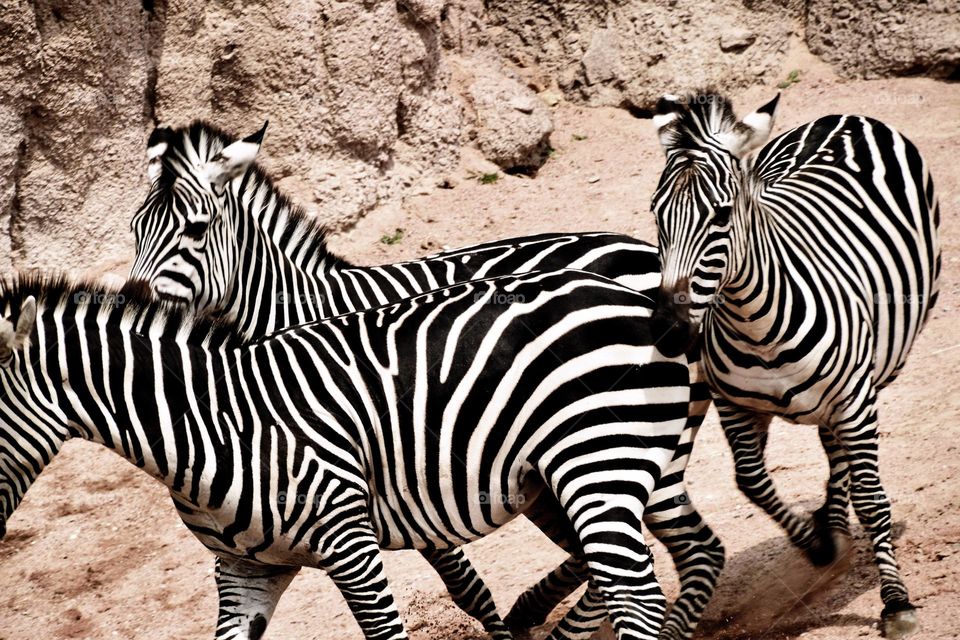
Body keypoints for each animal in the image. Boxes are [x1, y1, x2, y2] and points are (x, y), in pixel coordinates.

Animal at [0, 274, 692, 640]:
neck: (209, 425)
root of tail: (631, 295)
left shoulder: (350, 543)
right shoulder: (244, 570)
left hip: (596, 468)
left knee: (638, 596)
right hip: (549, 481)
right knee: (607, 573)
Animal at [129, 120, 720, 640]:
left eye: (196, 229)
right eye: (135, 231)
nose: (135, 302)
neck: (288, 313)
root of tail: (647, 252)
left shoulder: (405, 466)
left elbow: (465, 585)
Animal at [648, 91, 940, 640]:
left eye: (721, 215)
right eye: (656, 215)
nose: (670, 330)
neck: (754, 325)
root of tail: (844, 116)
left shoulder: (855, 399)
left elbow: (872, 498)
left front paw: (896, 603)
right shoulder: (734, 407)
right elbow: (751, 481)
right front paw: (818, 544)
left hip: (872, 376)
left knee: (846, 458)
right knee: (830, 451)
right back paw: (830, 523)